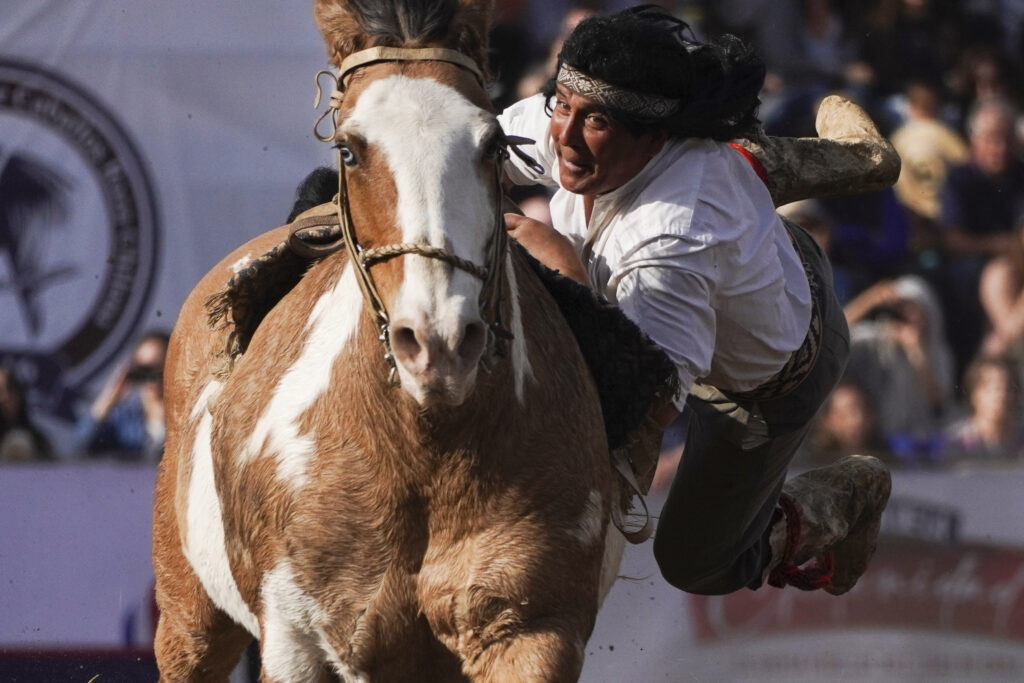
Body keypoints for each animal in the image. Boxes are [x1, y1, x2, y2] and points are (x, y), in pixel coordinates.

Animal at [148, 2, 618, 679]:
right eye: (350, 149)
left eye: (493, 143)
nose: (438, 340)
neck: (420, 446)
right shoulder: (296, 639)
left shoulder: (534, 627)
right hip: (189, 619)